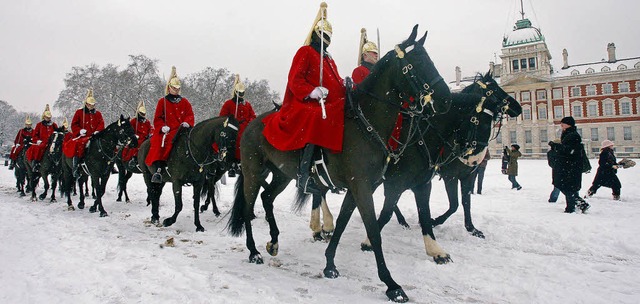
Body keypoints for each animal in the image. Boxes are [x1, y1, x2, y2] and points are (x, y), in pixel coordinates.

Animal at [226, 25, 450, 302]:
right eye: (416, 63)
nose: (446, 99)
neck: (365, 125)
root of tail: (250, 125)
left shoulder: (360, 188)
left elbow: (343, 224)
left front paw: (330, 264)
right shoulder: (363, 188)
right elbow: (374, 231)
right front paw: (391, 284)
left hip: (282, 174)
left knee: (267, 198)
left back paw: (274, 242)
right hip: (253, 173)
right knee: (248, 208)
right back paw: (253, 251)